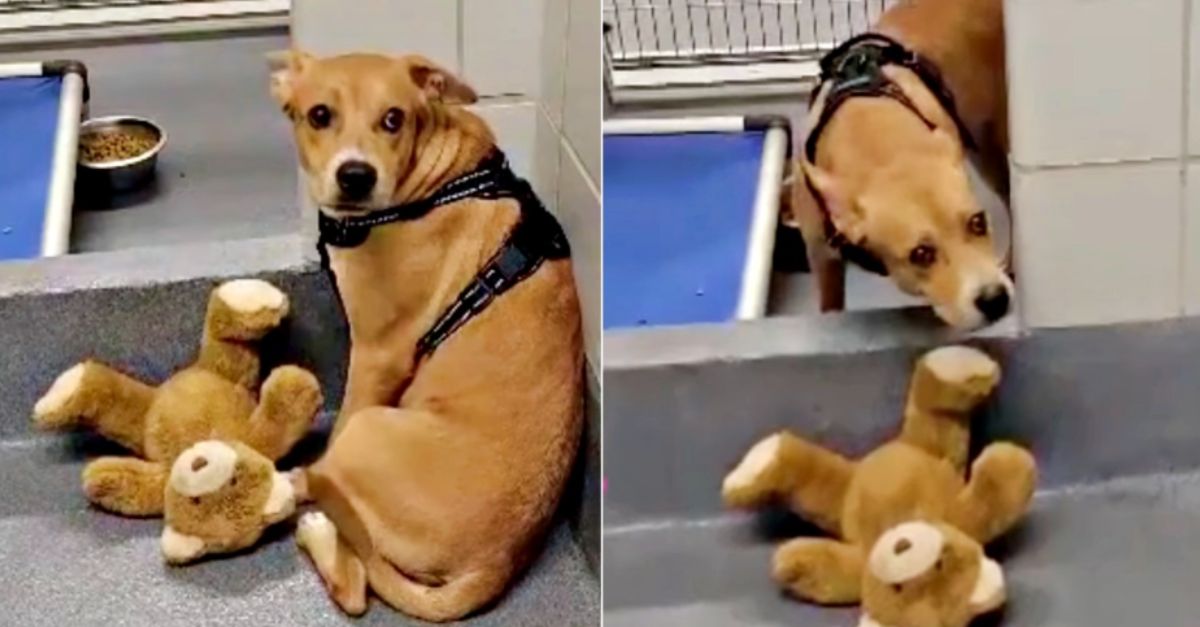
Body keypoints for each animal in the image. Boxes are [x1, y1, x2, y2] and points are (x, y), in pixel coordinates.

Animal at [268, 50, 585, 619]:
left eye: (393, 119)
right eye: (319, 115)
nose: (355, 176)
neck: (432, 183)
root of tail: (494, 564)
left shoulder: (378, 355)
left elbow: (340, 423)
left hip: (371, 428)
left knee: (355, 582)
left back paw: (300, 500)